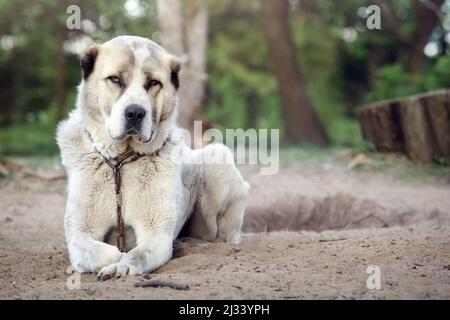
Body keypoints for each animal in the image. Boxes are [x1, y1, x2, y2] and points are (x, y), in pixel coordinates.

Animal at [56, 35, 250, 280]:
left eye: (153, 83)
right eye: (115, 79)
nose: (135, 113)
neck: (120, 161)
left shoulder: (156, 234)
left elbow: (136, 254)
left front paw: (121, 266)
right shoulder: (80, 232)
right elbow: (101, 251)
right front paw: (113, 262)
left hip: (217, 159)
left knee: (222, 238)